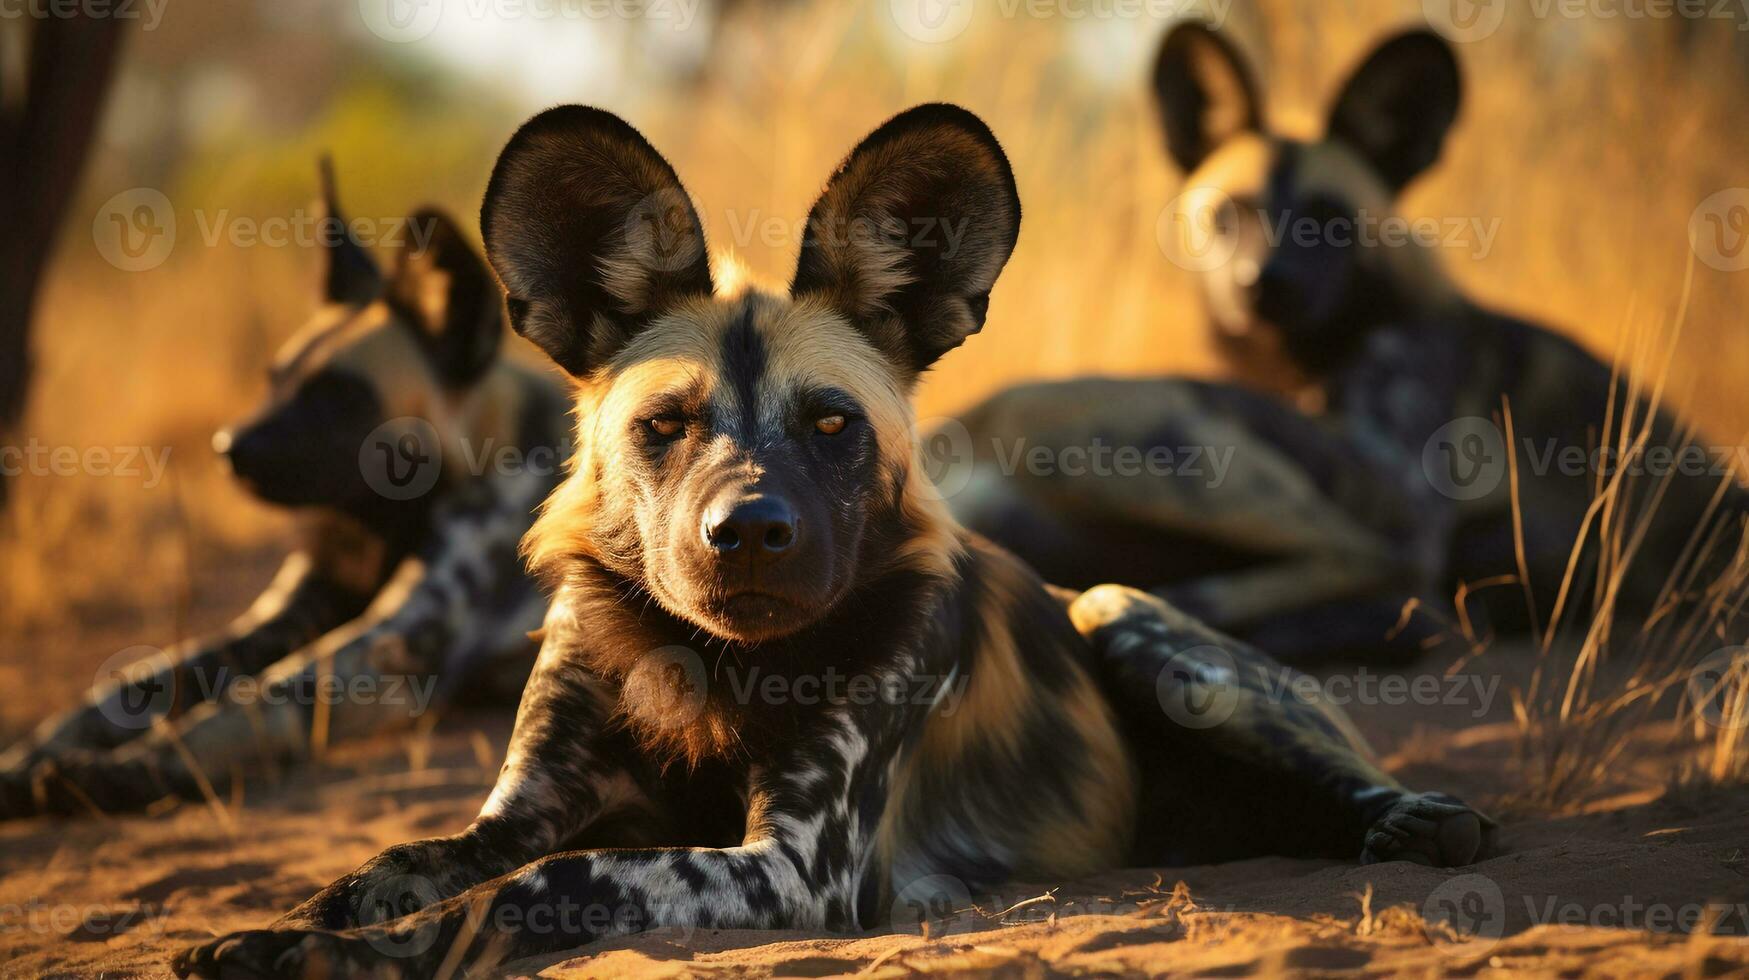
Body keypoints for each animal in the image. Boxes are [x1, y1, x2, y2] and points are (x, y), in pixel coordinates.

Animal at [0, 166, 570, 819]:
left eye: (339, 396)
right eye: (275, 379)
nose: (229, 446)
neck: (382, 522)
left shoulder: (392, 644)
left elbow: (251, 701)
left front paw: (116, 772)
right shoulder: (286, 614)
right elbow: (139, 682)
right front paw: (33, 755)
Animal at [174, 105, 1490, 980]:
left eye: (831, 423)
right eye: (664, 425)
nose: (749, 531)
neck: (705, 664)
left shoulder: (793, 863)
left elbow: (532, 885)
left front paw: (352, 953)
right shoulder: (529, 804)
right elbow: (415, 859)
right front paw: (292, 929)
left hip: (1126, 611)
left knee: (1342, 761)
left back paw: (1419, 818)